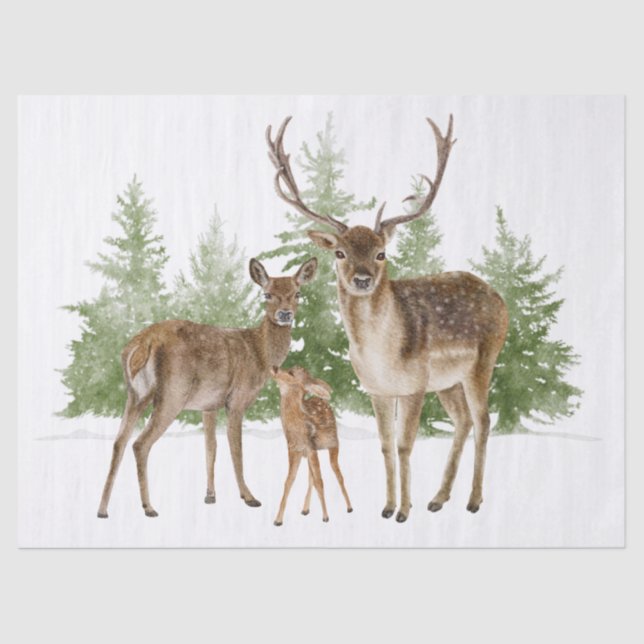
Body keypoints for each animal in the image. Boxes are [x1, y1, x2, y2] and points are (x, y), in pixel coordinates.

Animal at [97, 256, 318, 518]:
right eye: (267, 294)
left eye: (297, 293)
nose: (285, 314)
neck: (260, 354)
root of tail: (143, 344)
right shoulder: (237, 399)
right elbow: (236, 448)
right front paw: (249, 497)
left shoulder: (209, 405)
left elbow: (211, 447)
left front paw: (210, 495)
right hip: (172, 393)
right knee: (140, 443)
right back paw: (149, 507)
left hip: (135, 394)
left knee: (118, 442)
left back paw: (102, 509)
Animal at [271, 365, 353, 526]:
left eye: (291, 373)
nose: (274, 367)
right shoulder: (294, 449)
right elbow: (289, 481)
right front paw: (277, 520)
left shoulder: (310, 447)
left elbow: (320, 481)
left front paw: (326, 517)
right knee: (311, 478)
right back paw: (305, 510)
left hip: (333, 443)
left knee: (338, 474)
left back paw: (349, 507)